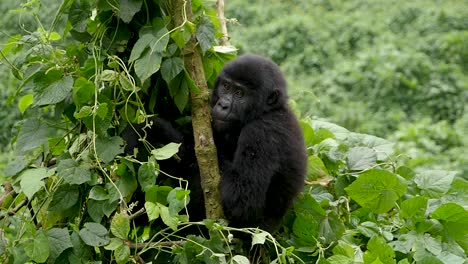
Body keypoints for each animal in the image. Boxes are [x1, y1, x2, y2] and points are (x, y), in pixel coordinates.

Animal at [211, 54, 308, 231]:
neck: (269, 111)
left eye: (239, 93)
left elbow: (240, 200)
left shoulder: (260, 133)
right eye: (226, 86)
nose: (223, 105)